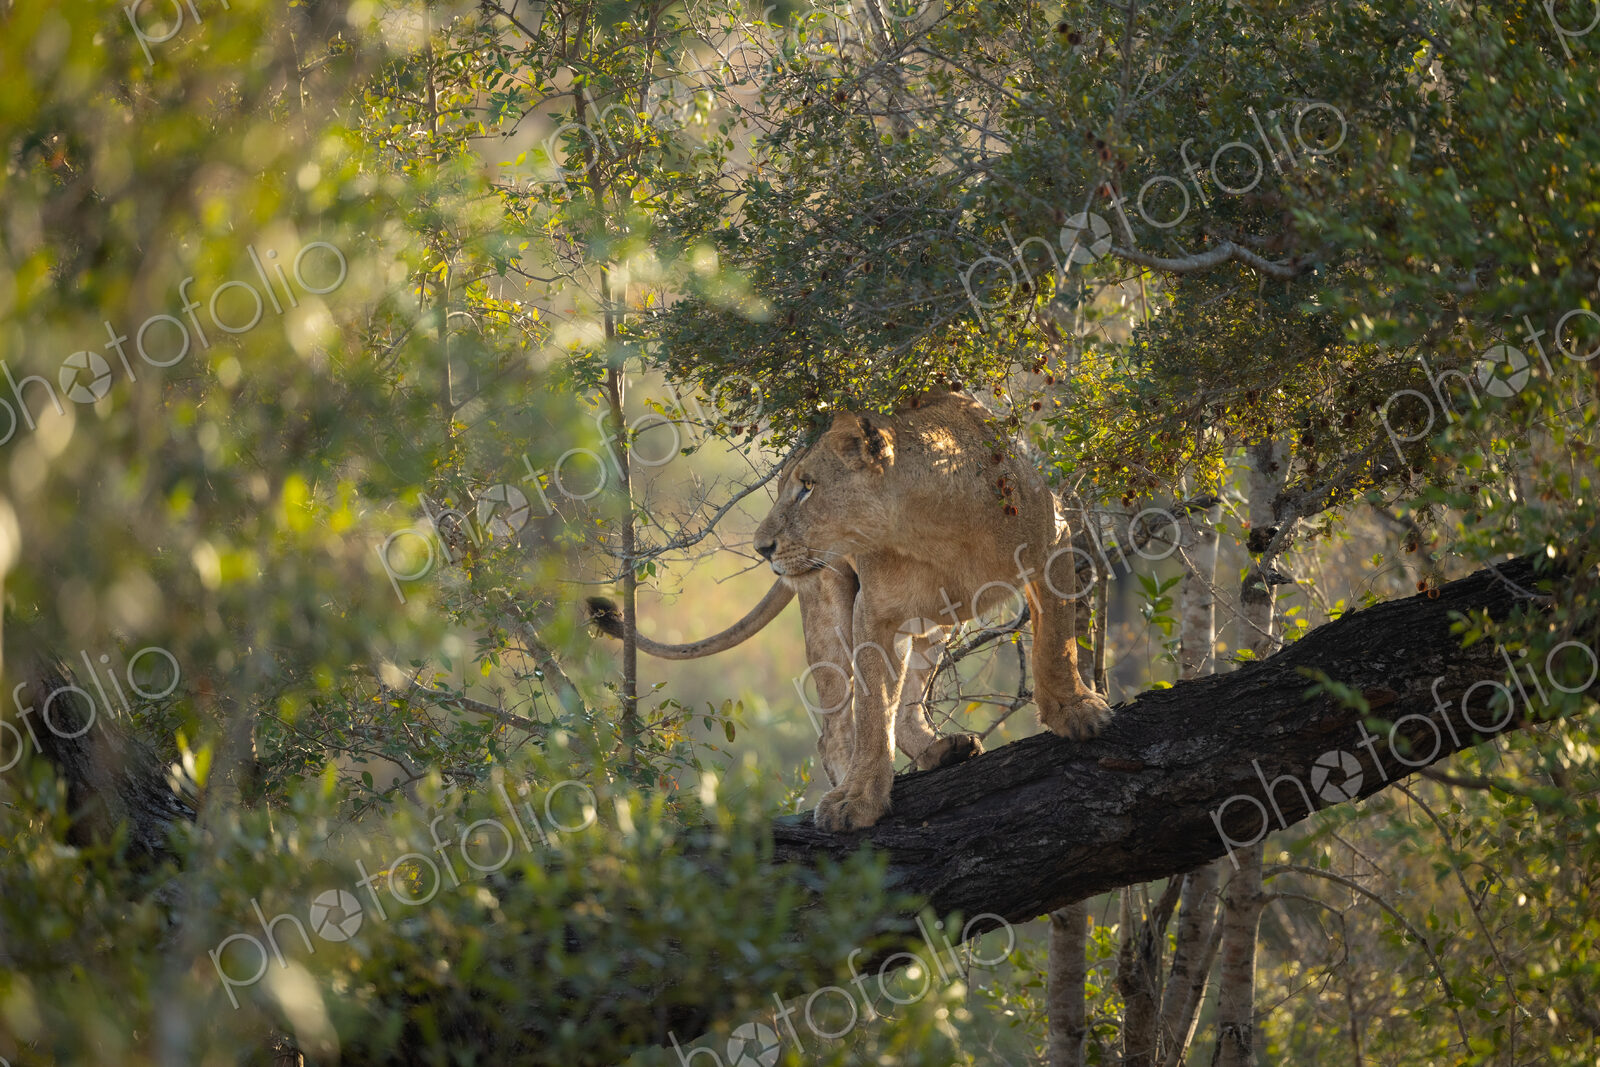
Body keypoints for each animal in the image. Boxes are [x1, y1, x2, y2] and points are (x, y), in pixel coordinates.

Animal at [589, 390, 1113, 830]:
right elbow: (871, 711)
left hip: (933, 621)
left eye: (808, 487)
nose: (761, 548)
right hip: (828, 605)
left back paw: (940, 749)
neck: (938, 529)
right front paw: (858, 798)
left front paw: (1076, 710)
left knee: (909, 699)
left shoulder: (1055, 541)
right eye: (791, 487)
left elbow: (1056, 643)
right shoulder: (872, 614)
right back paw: (848, 779)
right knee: (835, 729)